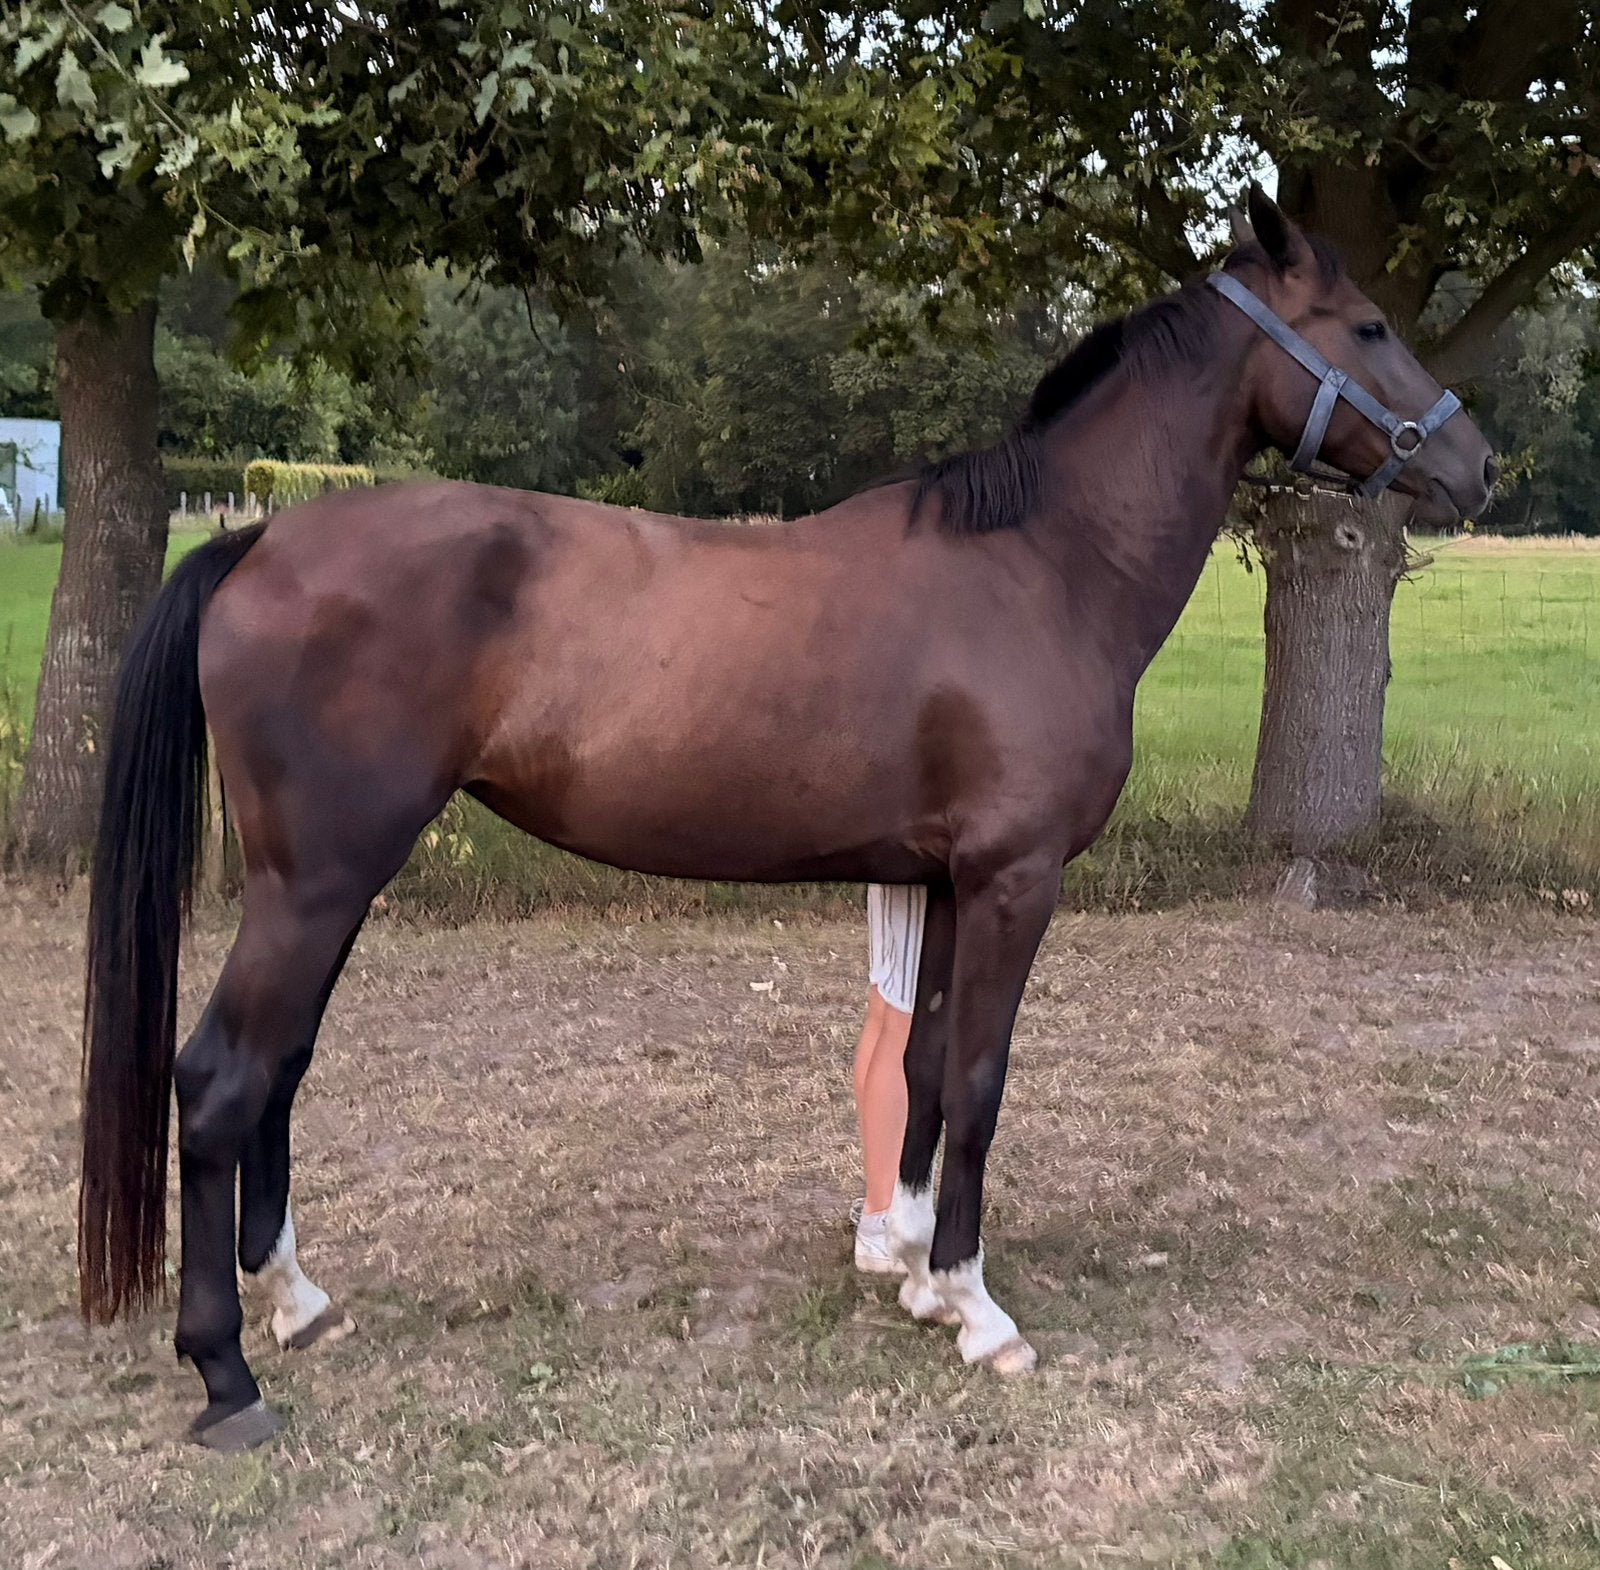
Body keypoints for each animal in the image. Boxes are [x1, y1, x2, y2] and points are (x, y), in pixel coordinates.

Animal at [77, 187, 1496, 1451]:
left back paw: (298, 1301)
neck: (1046, 568)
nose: (1476, 462)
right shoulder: (1015, 878)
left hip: (327, 885)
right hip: (315, 883)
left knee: (280, 1071)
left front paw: (916, 1270)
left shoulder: (943, 880)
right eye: (1367, 324)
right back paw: (226, 1373)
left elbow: (924, 1068)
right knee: (222, 1079)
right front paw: (978, 1307)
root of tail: (260, 540)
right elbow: (979, 1079)